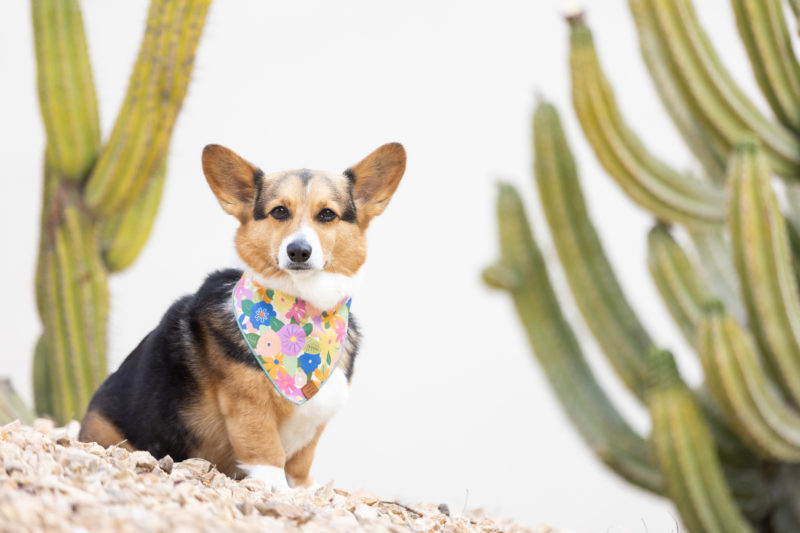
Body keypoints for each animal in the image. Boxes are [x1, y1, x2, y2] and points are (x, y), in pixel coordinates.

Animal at [79, 142, 406, 490]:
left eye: (327, 214)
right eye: (279, 211)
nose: (298, 251)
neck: (303, 313)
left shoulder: (312, 429)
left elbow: (300, 465)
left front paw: (303, 490)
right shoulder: (249, 409)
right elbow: (267, 453)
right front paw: (279, 490)